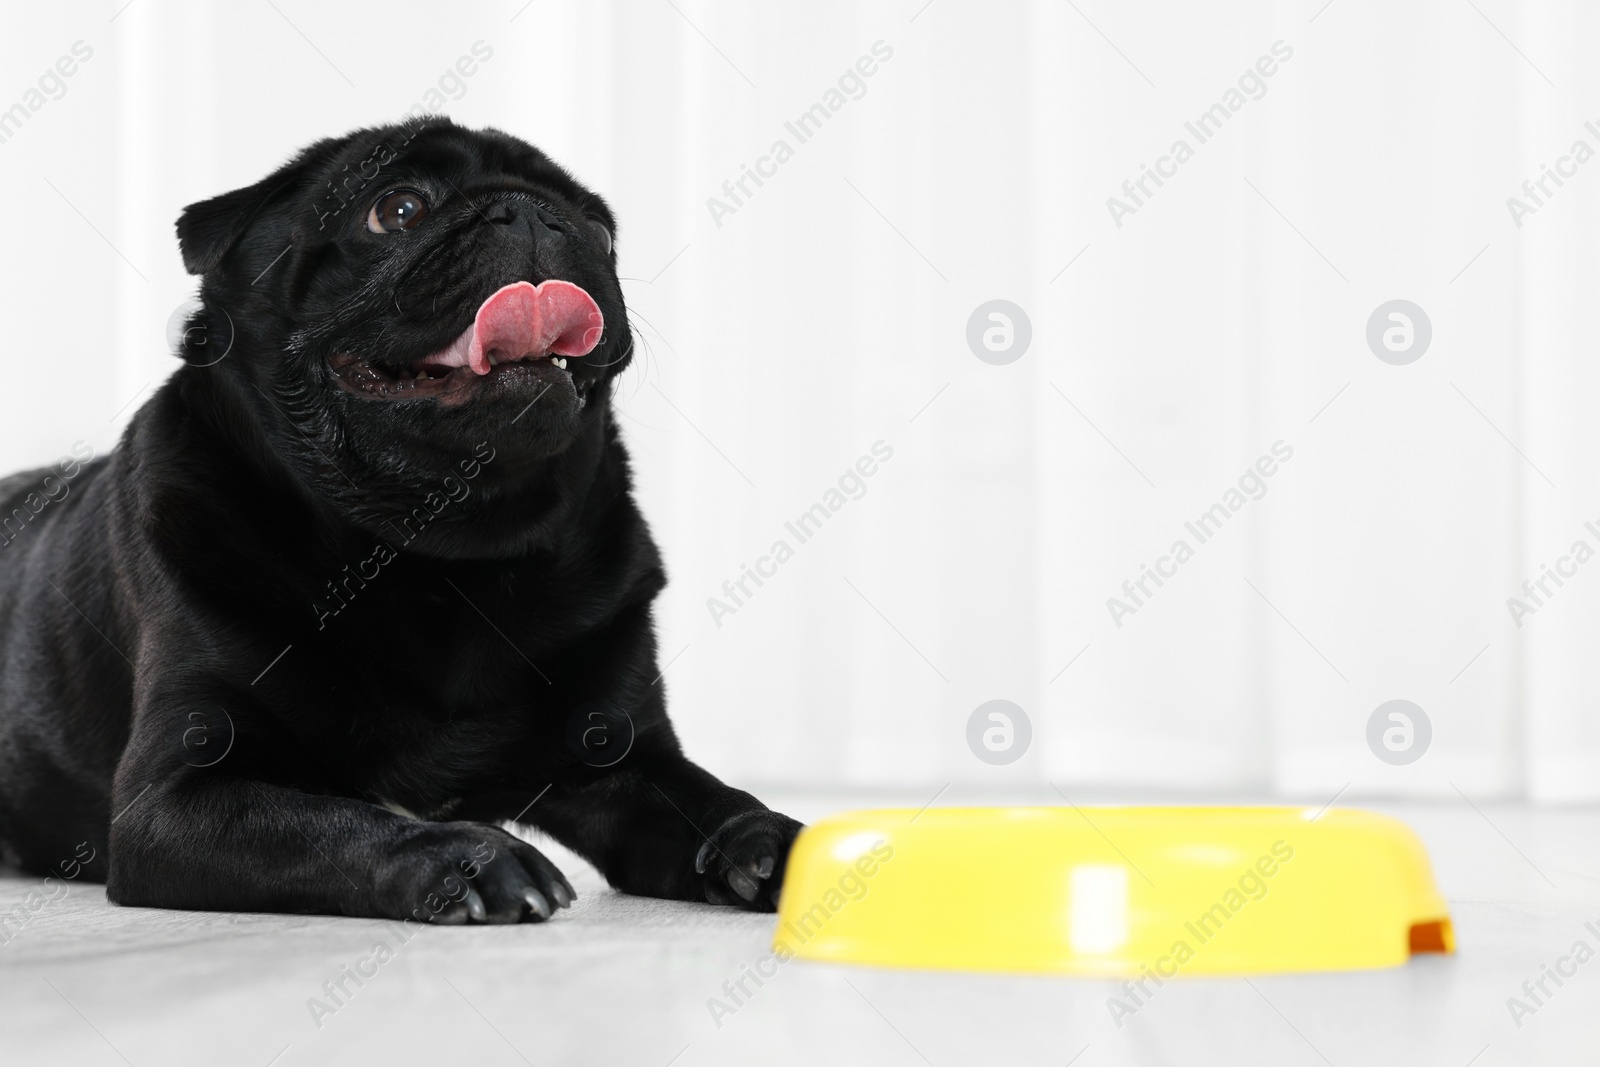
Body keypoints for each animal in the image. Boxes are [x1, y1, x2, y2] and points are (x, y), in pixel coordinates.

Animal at [0, 115, 800, 921]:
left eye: (602, 234)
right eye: (399, 209)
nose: (532, 213)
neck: (437, 553)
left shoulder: (623, 759)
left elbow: (709, 800)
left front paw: (774, 840)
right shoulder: (174, 798)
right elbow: (330, 821)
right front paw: (468, 856)